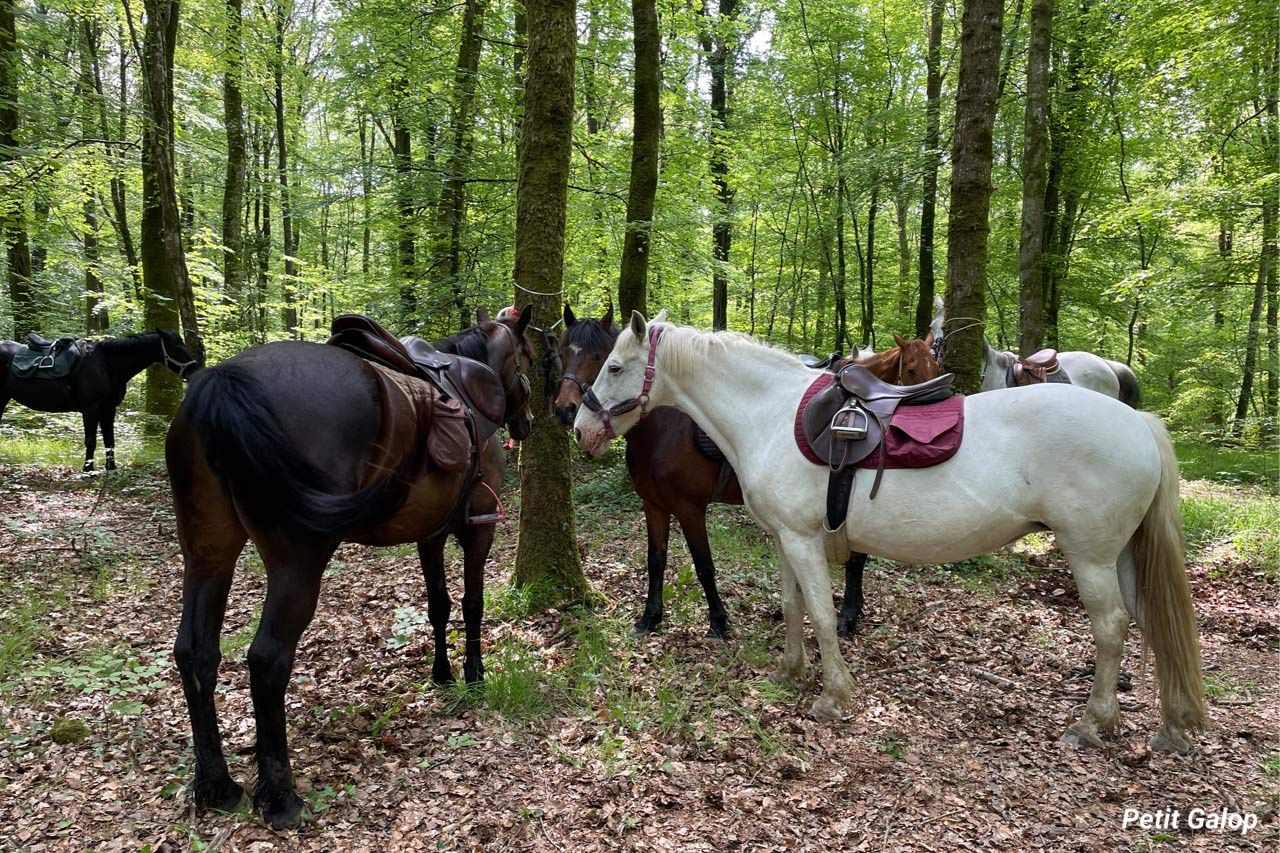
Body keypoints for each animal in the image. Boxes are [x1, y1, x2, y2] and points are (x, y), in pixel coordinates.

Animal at [0, 328, 201, 470]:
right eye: (176, 348)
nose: (194, 370)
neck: (107, 365)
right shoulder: (91, 408)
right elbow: (91, 440)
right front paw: (88, 470)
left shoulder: (109, 408)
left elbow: (109, 440)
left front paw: (111, 468)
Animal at [166, 310, 535, 829]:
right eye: (530, 358)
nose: (528, 423)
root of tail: (222, 381)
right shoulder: (478, 528)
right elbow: (472, 604)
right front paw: (474, 674)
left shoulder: (430, 534)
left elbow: (438, 606)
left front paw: (442, 673)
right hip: (297, 561)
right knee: (266, 660)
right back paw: (280, 797)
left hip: (207, 554)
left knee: (195, 653)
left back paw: (217, 785)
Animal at [552, 304, 940, 638]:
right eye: (562, 352)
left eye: (605, 361)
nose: (568, 413)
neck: (664, 430)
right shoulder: (654, 505)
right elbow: (656, 560)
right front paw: (650, 617)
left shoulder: (690, 509)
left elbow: (704, 565)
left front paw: (719, 622)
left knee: (856, 559)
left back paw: (847, 615)